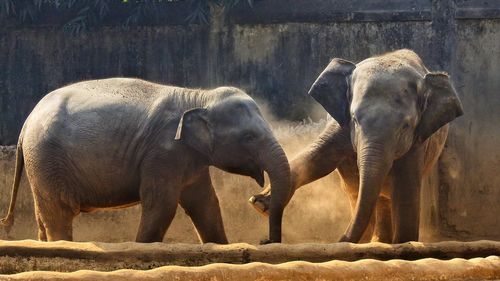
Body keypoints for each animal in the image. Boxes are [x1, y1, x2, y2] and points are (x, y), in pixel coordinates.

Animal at [0, 77, 292, 242]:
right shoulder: (163, 152)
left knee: (44, 214)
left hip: (41, 165)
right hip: (48, 159)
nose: (266, 242)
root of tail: (26, 123)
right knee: (59, 213)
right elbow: (162, 205)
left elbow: (206, 204)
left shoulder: (189, 159)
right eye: (249, 137)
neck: (198, 95)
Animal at [248, 49, 462, 242]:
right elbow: (319, 160)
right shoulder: (340, 123)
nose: (265, 241)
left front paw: (404, 242)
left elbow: (406, 189)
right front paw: (260, 204)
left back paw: (378, 241)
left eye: (406, 126)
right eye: (355, 119)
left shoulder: (418, 140)